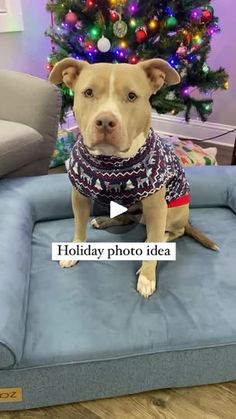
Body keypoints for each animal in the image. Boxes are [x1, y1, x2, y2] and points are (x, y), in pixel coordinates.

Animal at [48, 57, 218, 298]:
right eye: (88, 92)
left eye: (131, 96)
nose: (105, 121)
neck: (110, 161)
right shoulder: (79, 196)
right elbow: (79, 227)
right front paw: (75, 250)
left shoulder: (156, 206)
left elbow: (154, 245)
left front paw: (147, 277)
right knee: (128, 217)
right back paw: (104, 220)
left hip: (172, 212)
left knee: (175, 231)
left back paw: (157, 238)